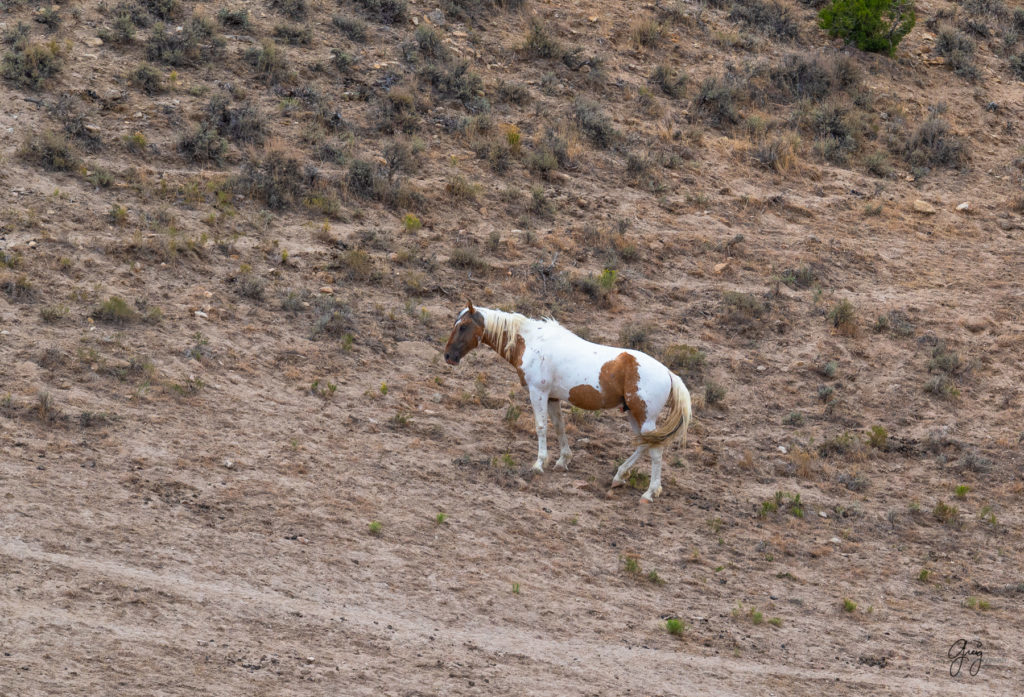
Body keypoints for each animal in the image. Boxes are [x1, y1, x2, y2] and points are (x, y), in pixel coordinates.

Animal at [444, 300, 692, 503]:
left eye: (463, 326)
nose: (448, 356)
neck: (532, 342)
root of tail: (669, 374)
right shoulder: (552, 397)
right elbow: (559, 426)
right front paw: (563, 460)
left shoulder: (538, 392)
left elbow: (541, 427)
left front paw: (539, 464)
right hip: (632, 413)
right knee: (643, 444)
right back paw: (619, 476)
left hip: (644, 417)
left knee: (655, 450)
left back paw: (649, 493)